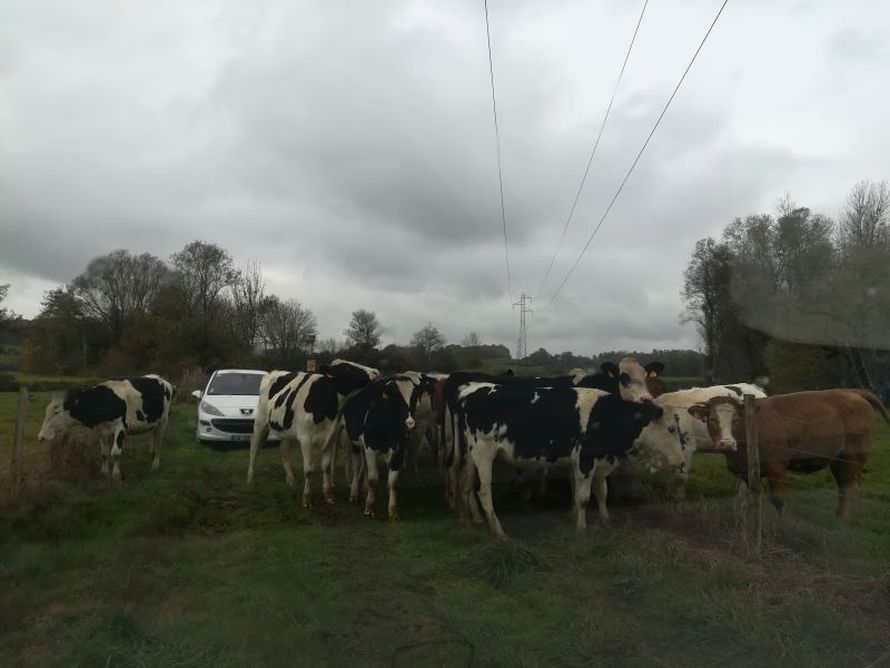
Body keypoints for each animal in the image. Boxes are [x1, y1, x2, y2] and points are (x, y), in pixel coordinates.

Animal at [37, 376, 174, 480]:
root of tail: (163, 380)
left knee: (159, 443)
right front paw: (104, 473)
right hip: (154, 423)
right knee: (154, 436)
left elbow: (115, 453)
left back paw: (155, 466)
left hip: (164, 421)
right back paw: (152, 453)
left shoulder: (121, 427)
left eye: (56, 412)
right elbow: (104, 454)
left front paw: (116, 476)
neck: (105, 401)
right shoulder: (102, 431)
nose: (40, 436)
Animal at [246, 360, 378, 506]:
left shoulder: (330, 437)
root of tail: (273, 372)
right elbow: (308, 469)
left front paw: (328, 495)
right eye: (347, 367)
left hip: (285, 430)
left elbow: (326, 466)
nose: (375, 372)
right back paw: (250, 480)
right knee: (254, 449)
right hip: (261, 422)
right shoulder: (305, 438)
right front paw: (307, 498)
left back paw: (290, 480)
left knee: (284, 450)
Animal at [458, 384, 680, 540]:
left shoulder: (595, 464)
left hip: (471, 456)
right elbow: (583, 498)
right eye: (671, 429)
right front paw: (581, 528)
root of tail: (472, 393)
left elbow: (601, 493)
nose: (681, 460)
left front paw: (605, 521)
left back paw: (468, 521)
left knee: (466, 487)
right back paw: (498, 532)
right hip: (484, 453)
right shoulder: (585, 461)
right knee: (483, 491)